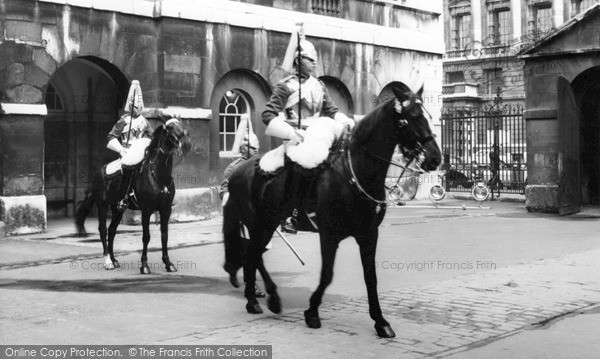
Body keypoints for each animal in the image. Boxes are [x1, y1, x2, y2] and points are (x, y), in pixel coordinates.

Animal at [75, 116, 191, 274]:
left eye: (182, 124)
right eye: (169, 128)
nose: (186, 144)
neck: (158, 175)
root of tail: (98, 173)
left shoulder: (166, 209)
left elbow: (164, 236)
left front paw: (168, 263)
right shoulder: (146, 211)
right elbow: (146, 237)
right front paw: (144, 266)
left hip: (117, 209)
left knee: (111, 231)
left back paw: (114, 260)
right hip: (102, 206)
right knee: (103, 230)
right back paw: (108, 261)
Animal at [224, 81, 440, 338]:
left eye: (427, 115)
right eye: (409, 118)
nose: (435, 158)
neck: (354, 171)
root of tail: (238, 170)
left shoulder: (369, 234)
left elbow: (371, 277)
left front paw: (380, 321)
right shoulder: (329, 235)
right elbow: (327, 275)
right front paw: (311, 313)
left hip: (264, 223)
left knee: (253, 254)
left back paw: (255, 300)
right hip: (260, 223)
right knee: (254, 253)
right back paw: (269, 299)